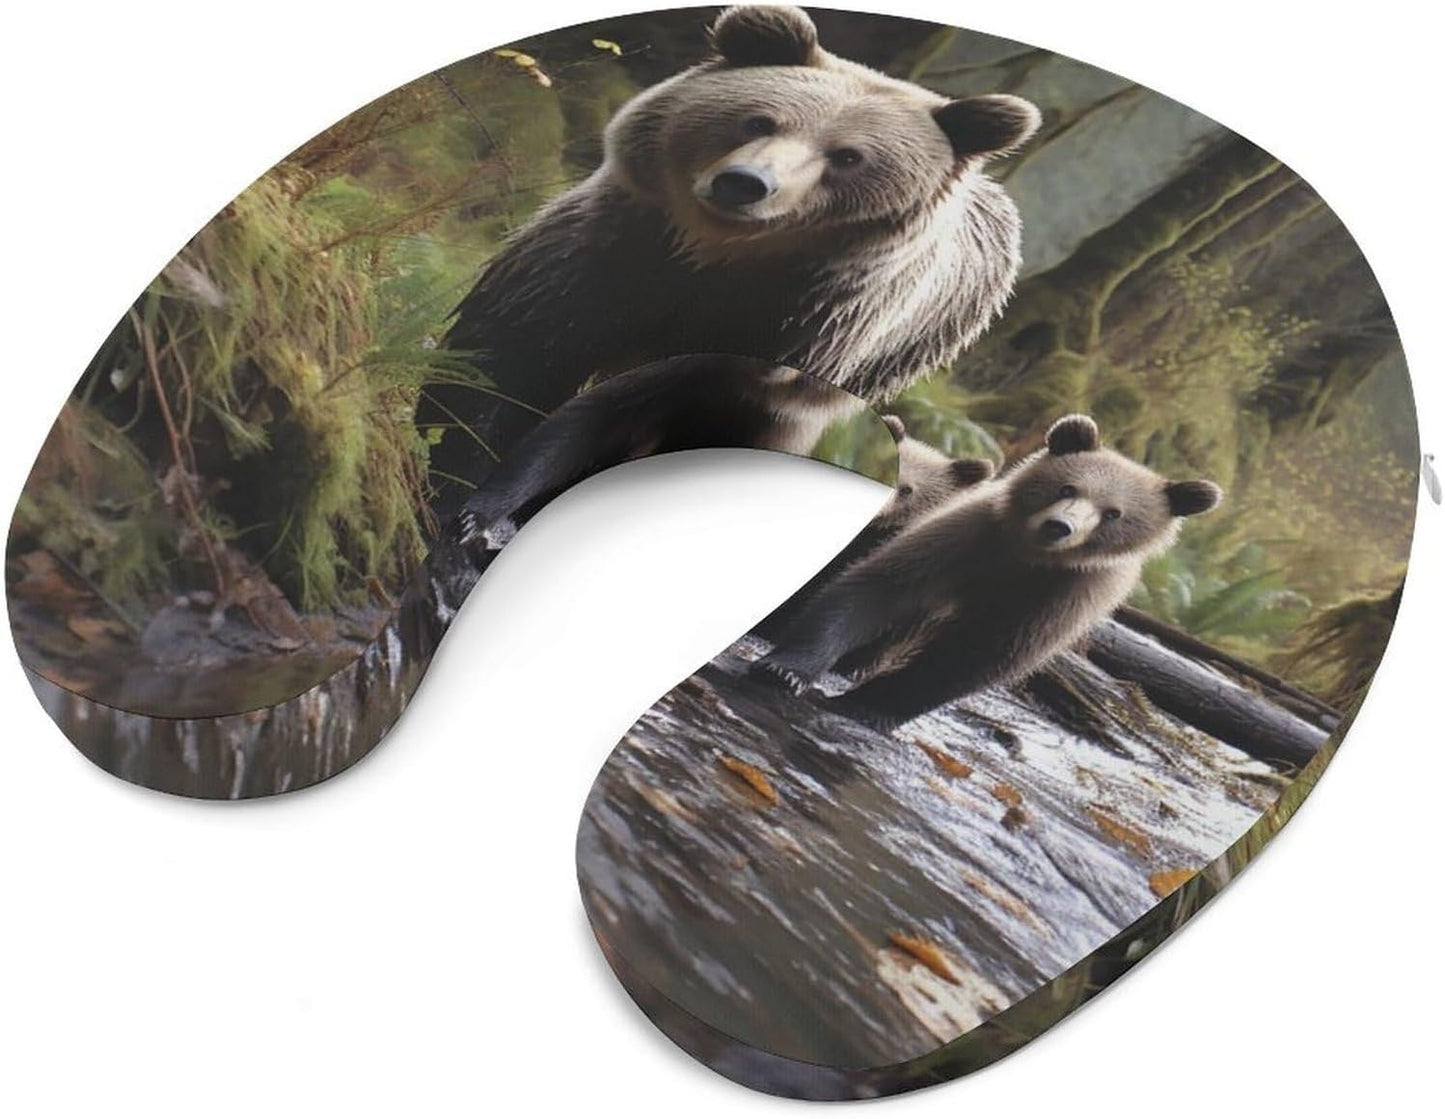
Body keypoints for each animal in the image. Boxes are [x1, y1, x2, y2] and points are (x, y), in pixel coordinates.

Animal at [419, 4, 1040, 516]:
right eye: (760, 119)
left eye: (848, 157)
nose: (745, 183)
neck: (712, 257)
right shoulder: (611, 252)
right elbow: (512, 353)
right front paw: (456, 472)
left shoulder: (791, 324)